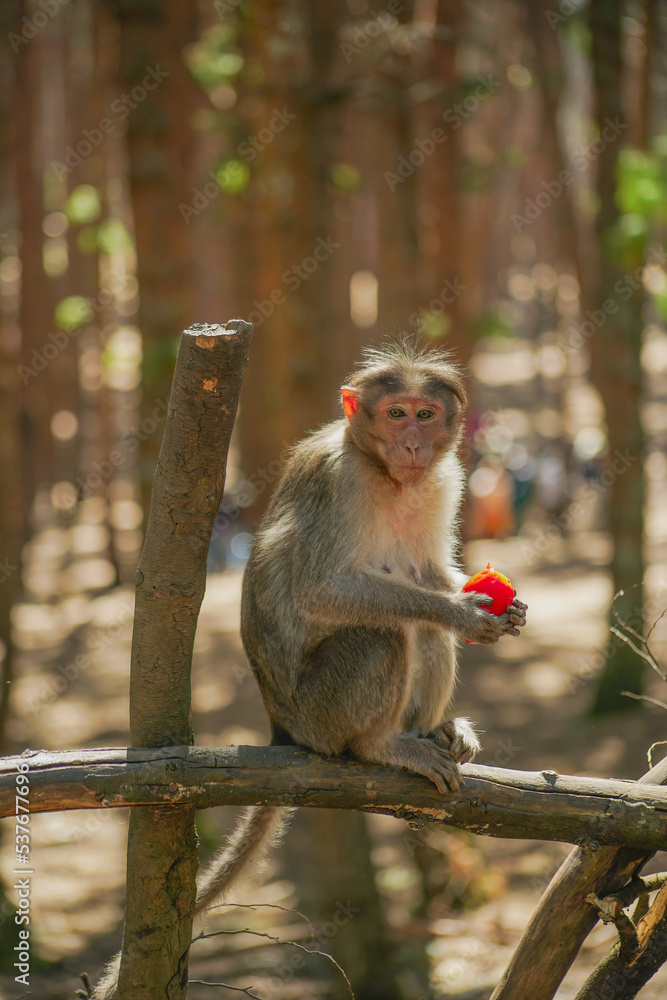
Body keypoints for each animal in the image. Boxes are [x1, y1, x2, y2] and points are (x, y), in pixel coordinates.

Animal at [93, 340, 527, 995]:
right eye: (395, 414)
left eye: (425, 415)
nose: (412, 446)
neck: (384, 476)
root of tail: (283, 727)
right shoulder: (338, 479)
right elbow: (323, 591)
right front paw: (461, 611)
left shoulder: (443, 479)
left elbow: (429, 569)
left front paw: (492, 605)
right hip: (322, 713)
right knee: (387, 631)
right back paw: (382, 746)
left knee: (415, 617)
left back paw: (434, 730)